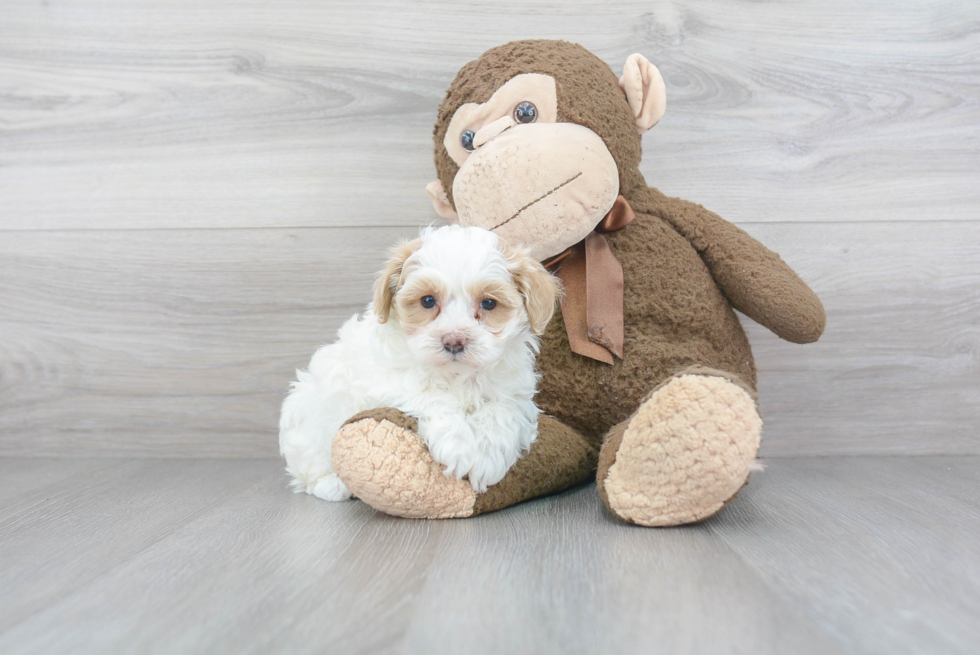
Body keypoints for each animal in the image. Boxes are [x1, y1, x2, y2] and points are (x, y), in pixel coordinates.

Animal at [280, 226, 564, 502]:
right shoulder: (386, 380)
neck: (458, 376)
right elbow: (435, 397)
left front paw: (487, 457)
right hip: (308, 418)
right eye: (427, 301)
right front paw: (458, 446)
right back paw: (331, 484)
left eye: (489, 303)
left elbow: (500, 411)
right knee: (308, 467)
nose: (454, 341)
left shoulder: (514, 393)